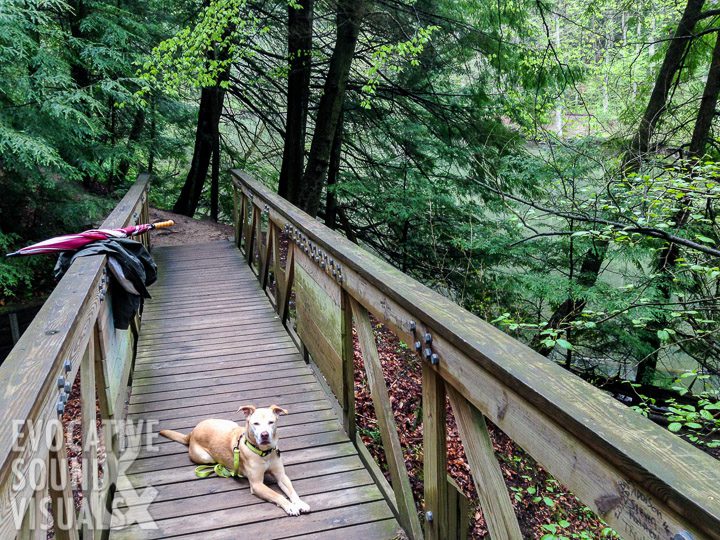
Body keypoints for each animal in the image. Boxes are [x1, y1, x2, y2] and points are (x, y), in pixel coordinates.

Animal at [160, 404, 310, 516]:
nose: (264, 435)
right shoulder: (257, 484)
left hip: (230, 424)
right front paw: (290, 507)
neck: (264, 452)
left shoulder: (281, 476)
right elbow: (277, 495)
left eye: (271, 422)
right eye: (255, 423)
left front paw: (300, 503)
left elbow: (292, 491)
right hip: (206, 457)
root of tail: (192, 432)